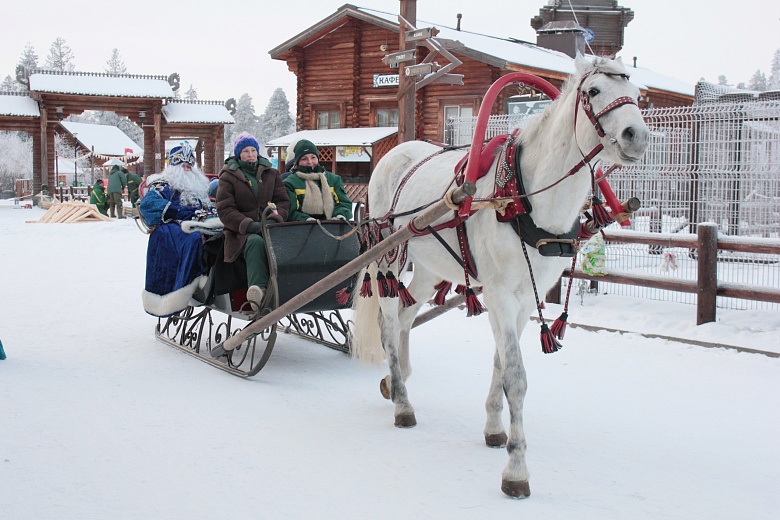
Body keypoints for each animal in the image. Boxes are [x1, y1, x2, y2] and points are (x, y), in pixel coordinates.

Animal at [350, 54, 648, 498]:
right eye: (594, 91)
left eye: (638, 94)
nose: (637, 136)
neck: (525, 198)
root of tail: (394, 152)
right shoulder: (501, 294)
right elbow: (516, 377)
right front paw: (517, 469)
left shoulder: (524, 299)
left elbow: (499, 362)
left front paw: (493, 428)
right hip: (388, 256)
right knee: (388, 324)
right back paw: (402, 403)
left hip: (427, 269)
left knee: (405, 317)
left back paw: (395, 378)